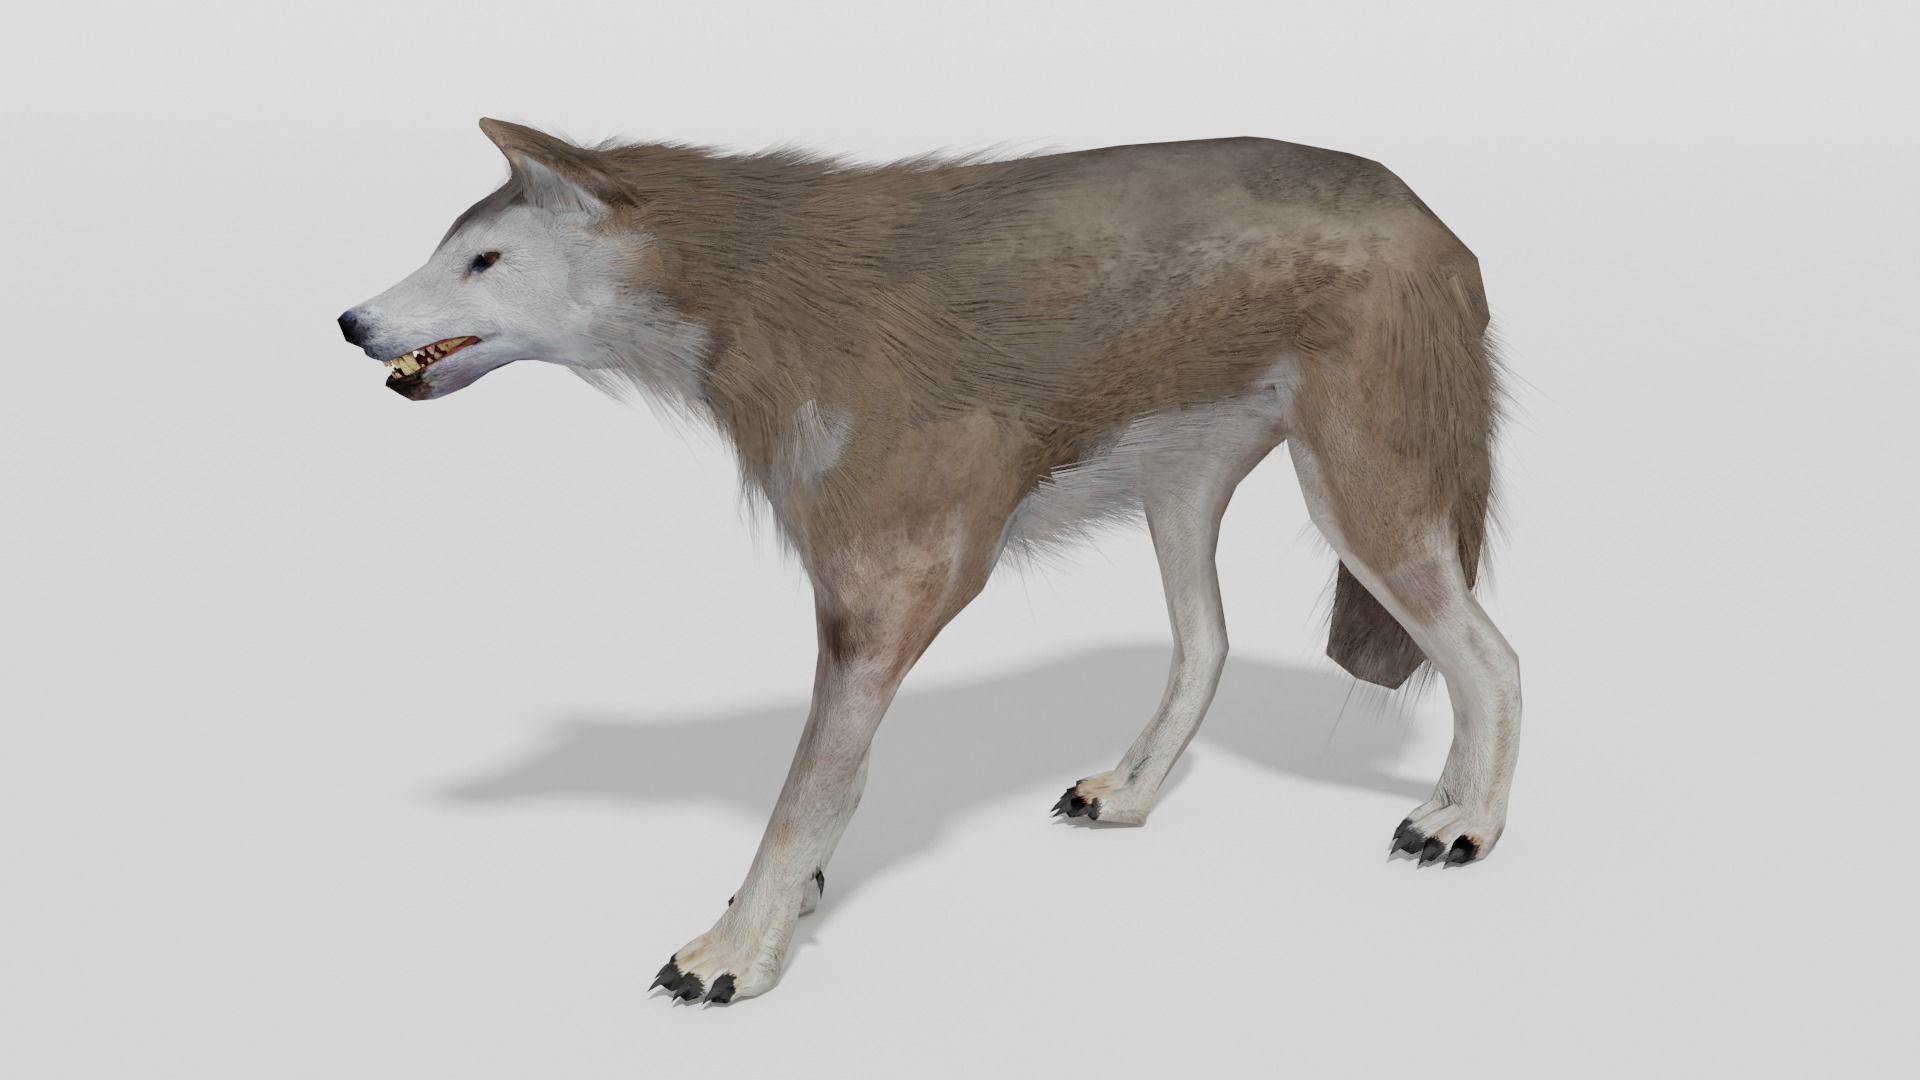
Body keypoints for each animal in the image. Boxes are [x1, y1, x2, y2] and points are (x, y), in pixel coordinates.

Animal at [340, 119, 1522, 1004]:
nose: (351, 321)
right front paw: (776, 916)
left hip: (1361, 500)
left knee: (1494, 659)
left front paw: (737, 954)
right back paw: (1128, 796)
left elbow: (808, 792)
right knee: (1207, 645)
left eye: (482, 261)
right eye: (446, 248)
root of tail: (1430, 215)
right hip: (1181, 491)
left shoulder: (890, 587)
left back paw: (1462, 823)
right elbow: (834, 788)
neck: (771, 299)